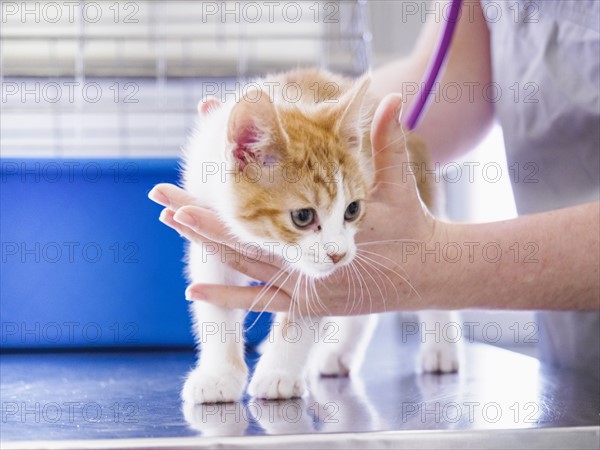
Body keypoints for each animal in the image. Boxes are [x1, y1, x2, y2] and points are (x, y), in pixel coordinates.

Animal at [180, 69, 458, 404]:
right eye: (303, 217)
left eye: (352, 209)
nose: (338, 254)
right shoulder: (208, 233)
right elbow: (215, 304)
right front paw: (219, 374)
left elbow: (308, 307)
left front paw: (279, 373)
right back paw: (337, 354)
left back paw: (441, 350)